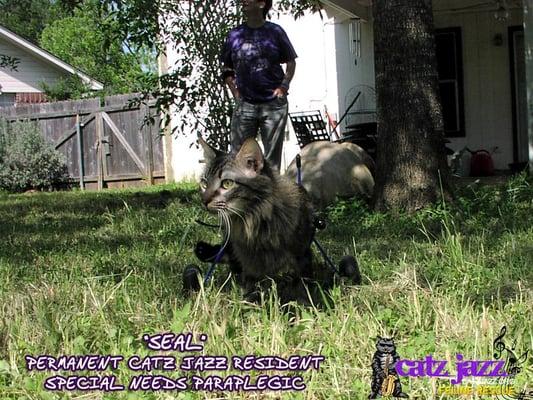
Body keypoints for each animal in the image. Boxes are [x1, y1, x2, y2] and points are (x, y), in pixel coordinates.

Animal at [194, 136, 332, 304]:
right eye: (204, 183)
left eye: (227, 183)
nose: (204, 201)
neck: (253, 219)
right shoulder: (249, 262)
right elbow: (252, 287)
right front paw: (251, 304)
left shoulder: (302, 256)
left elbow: (300, 288)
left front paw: (303, 305)